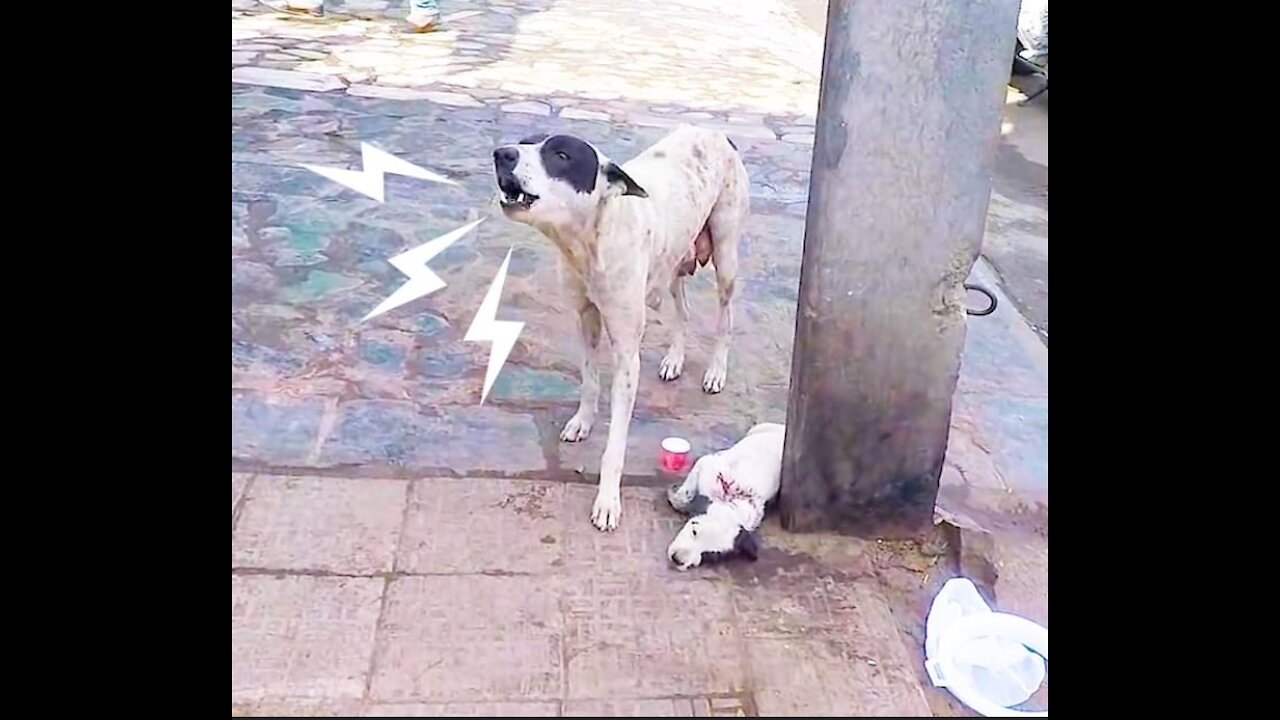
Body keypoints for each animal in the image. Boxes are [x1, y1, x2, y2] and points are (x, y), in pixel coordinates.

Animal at [488, 126, 747, 527]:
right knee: (683, 312)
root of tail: (715, 131)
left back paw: (716, 371)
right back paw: (674, 359)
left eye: (561, 155)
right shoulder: (585, 320)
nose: (502, 154)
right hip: (673, 262)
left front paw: (608, 501)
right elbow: (590, 380)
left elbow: (615, 445)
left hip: (725, 255)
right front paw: (582, 421)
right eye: (525, 142)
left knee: (726, 317)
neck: (589, 241)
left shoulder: (626, 355)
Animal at [665, 420, 783, 566]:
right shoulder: (707, 464)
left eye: (709, 555)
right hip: (760, 427)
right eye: (694, 532)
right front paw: (678, 500)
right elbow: (686, 491)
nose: (678, 559)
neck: (732, 500)